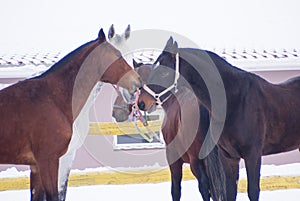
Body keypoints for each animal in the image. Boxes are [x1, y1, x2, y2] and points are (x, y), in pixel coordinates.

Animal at [138, 37, 300, 201]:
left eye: (164, 73)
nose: (141, 102)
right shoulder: (228, 158)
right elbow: (230, 192)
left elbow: (253, 191)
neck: (235, 99)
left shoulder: (253, 155)